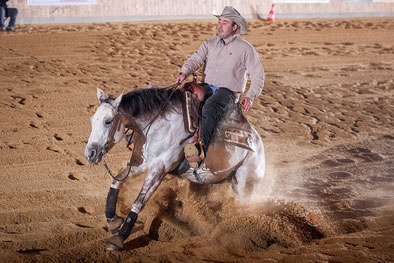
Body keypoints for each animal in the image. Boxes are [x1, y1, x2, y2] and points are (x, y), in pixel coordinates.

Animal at [84, 87, 266, 252]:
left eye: (108, 121)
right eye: (92, 120)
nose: (89, 153)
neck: (158, 126)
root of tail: (257, 142)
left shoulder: (159, 170)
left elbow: (138, 202)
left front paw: (119, 239)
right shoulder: (143, 163)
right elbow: (116, 181)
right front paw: (113, 220)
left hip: (245, 187)